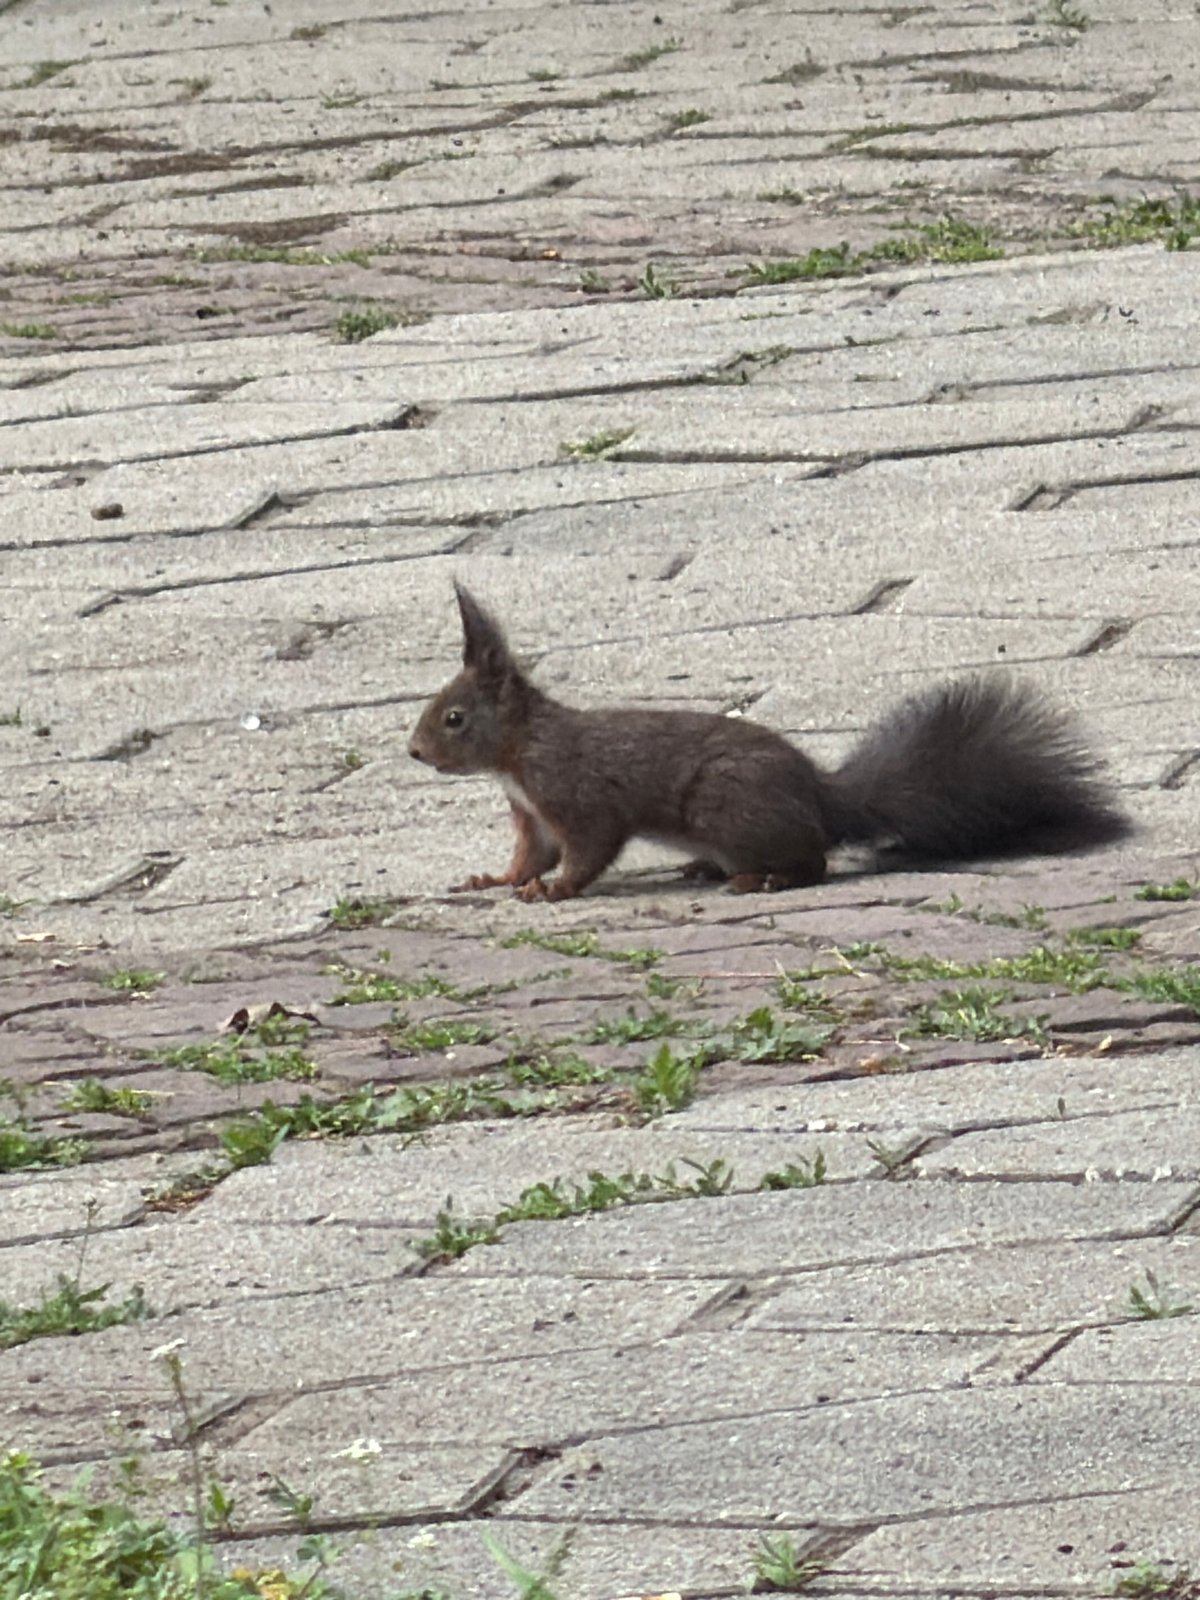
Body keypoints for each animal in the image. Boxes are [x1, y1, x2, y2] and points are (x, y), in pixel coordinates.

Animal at [408, 582, 1131, 902]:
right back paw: (705, 869)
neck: (519, 752)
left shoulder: (576, 795)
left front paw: (555, 890)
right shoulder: (531, 814)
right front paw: (496, 878)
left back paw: (763, 878)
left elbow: (588, 850)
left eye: (454, 718)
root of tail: (825, 800)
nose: (414, 754)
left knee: (814, 861)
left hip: (726, 809)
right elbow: (531, 854)